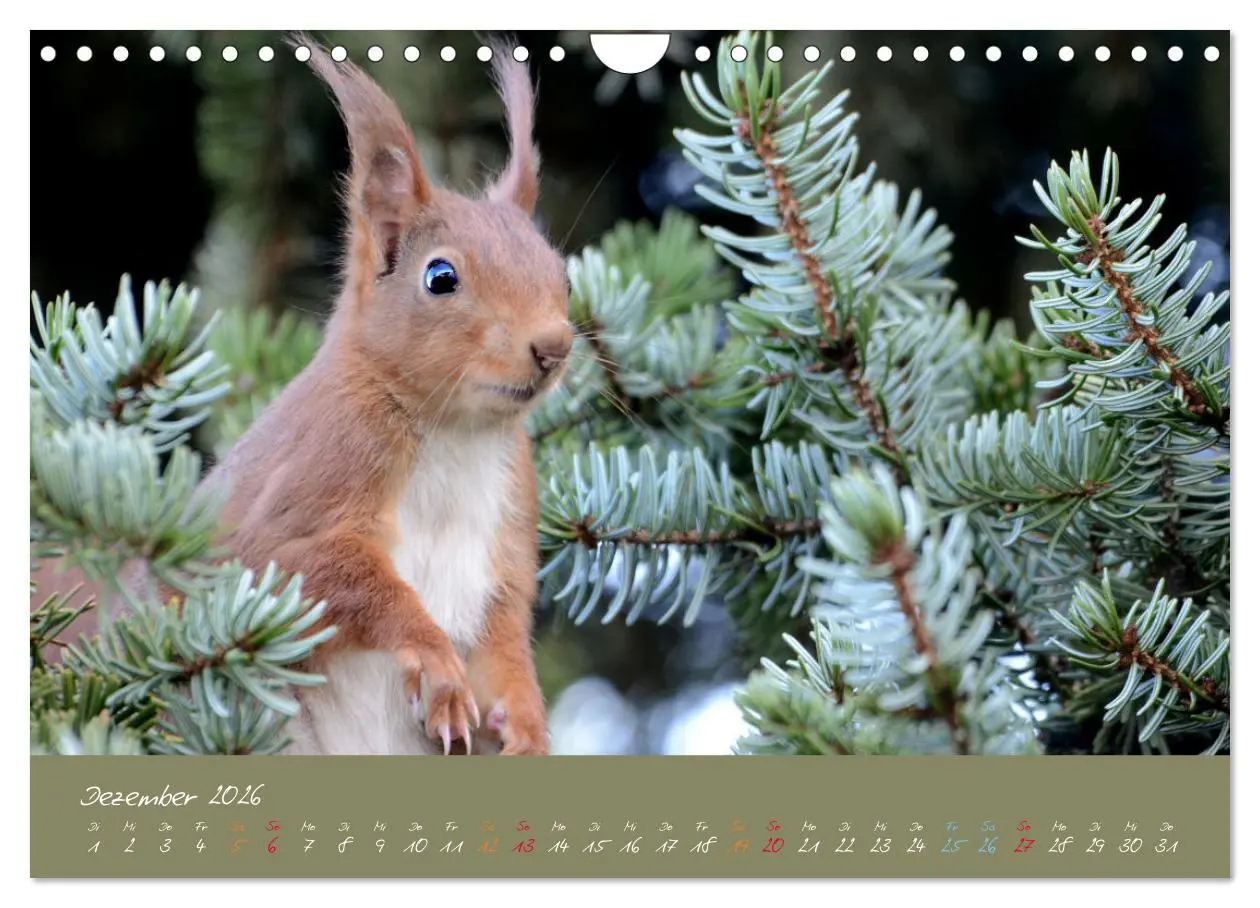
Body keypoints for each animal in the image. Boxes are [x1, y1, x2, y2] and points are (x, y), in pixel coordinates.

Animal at [197, 33, 573, 756]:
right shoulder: (308, 483)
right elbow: (318, 570)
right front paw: (434, 660)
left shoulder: (506, 545)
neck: (455, 434)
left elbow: (505, 650)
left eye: (562, 274)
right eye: (441, 277)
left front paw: (527, 726)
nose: (554, 346)